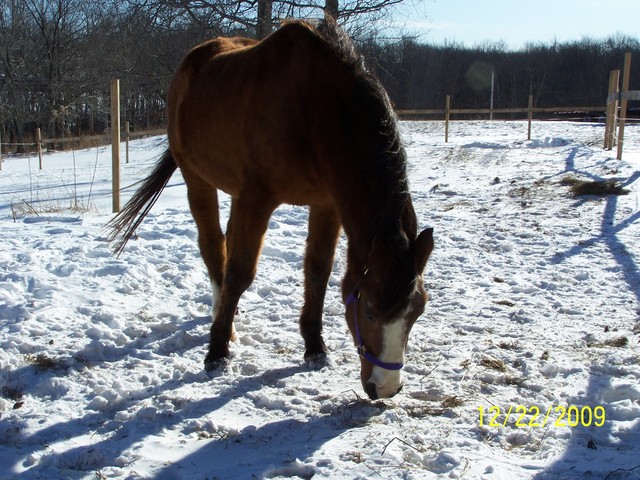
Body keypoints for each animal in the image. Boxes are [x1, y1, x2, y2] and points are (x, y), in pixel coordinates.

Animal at [108, 19, 434, 400]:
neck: (313, 111)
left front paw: (314, 346)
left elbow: (317, 271)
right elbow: (240, 273)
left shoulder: (326, 205)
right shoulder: (256, 199)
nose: (386, 388)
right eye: (368, 309)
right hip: (198, 180)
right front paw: (216, 352)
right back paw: (222, 319)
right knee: (213, 246)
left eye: (418, 311)